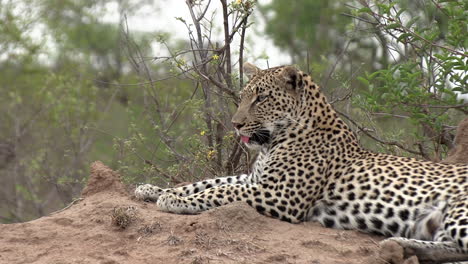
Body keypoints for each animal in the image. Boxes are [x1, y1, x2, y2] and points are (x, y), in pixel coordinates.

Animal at [135, 63, 468, 262]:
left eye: (261, 98)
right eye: (242, 96)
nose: (235, 124)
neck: (274, 141)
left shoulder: (281, 194)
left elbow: (220, 192)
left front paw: (173, 201)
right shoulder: (254, 179)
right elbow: (206, 182)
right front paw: (153, 189)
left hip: (459, 209)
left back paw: (397, 245)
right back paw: (398, 245)